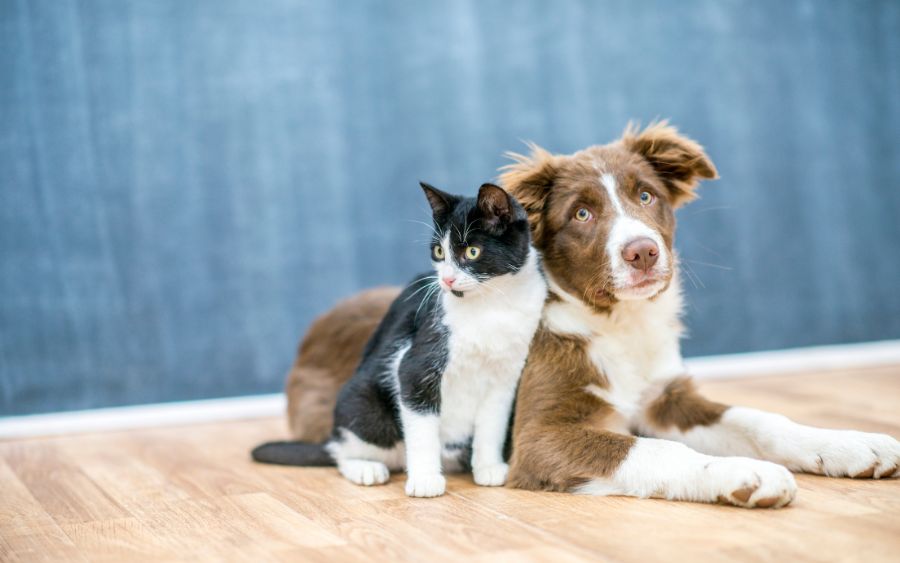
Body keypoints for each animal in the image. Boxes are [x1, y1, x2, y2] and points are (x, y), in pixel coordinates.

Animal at [253, 181, 548, 498]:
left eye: (472, 251)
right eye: (439, 251)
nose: (447, 280)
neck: (492, 305)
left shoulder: (506, 377)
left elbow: (492, 424)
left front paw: (489, 468)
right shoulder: (415, 366)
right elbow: (421, 427)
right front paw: (425, 480)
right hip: (364, 407)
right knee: (341, 451)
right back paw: (365, 468)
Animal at [284, 124, 900, 512]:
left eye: (646, 196)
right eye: (581, 214)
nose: (643, 252)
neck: (615, 326)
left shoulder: (665, 397)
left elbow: (760, 419)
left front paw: (852, 446)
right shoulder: (539, 436)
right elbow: (655, 450)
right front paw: (738, 474)